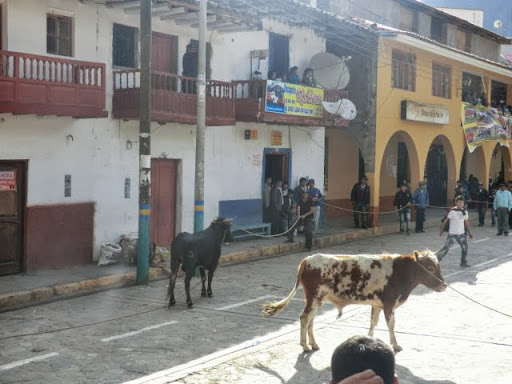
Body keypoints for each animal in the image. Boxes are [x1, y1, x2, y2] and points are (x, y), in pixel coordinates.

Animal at [262, 250, 446, 352]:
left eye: (438, 266)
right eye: (430, 268)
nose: (443, 285)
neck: (400, 271)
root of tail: (308, 259)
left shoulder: (377, 304)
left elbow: (373, 322)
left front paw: (370, 339)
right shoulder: (389, 304)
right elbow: (391, 325)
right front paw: (395, 345)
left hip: (316, 300)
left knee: (310, 321)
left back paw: (313, 344)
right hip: (313, 298)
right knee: (304, 318)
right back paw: (305, 345)